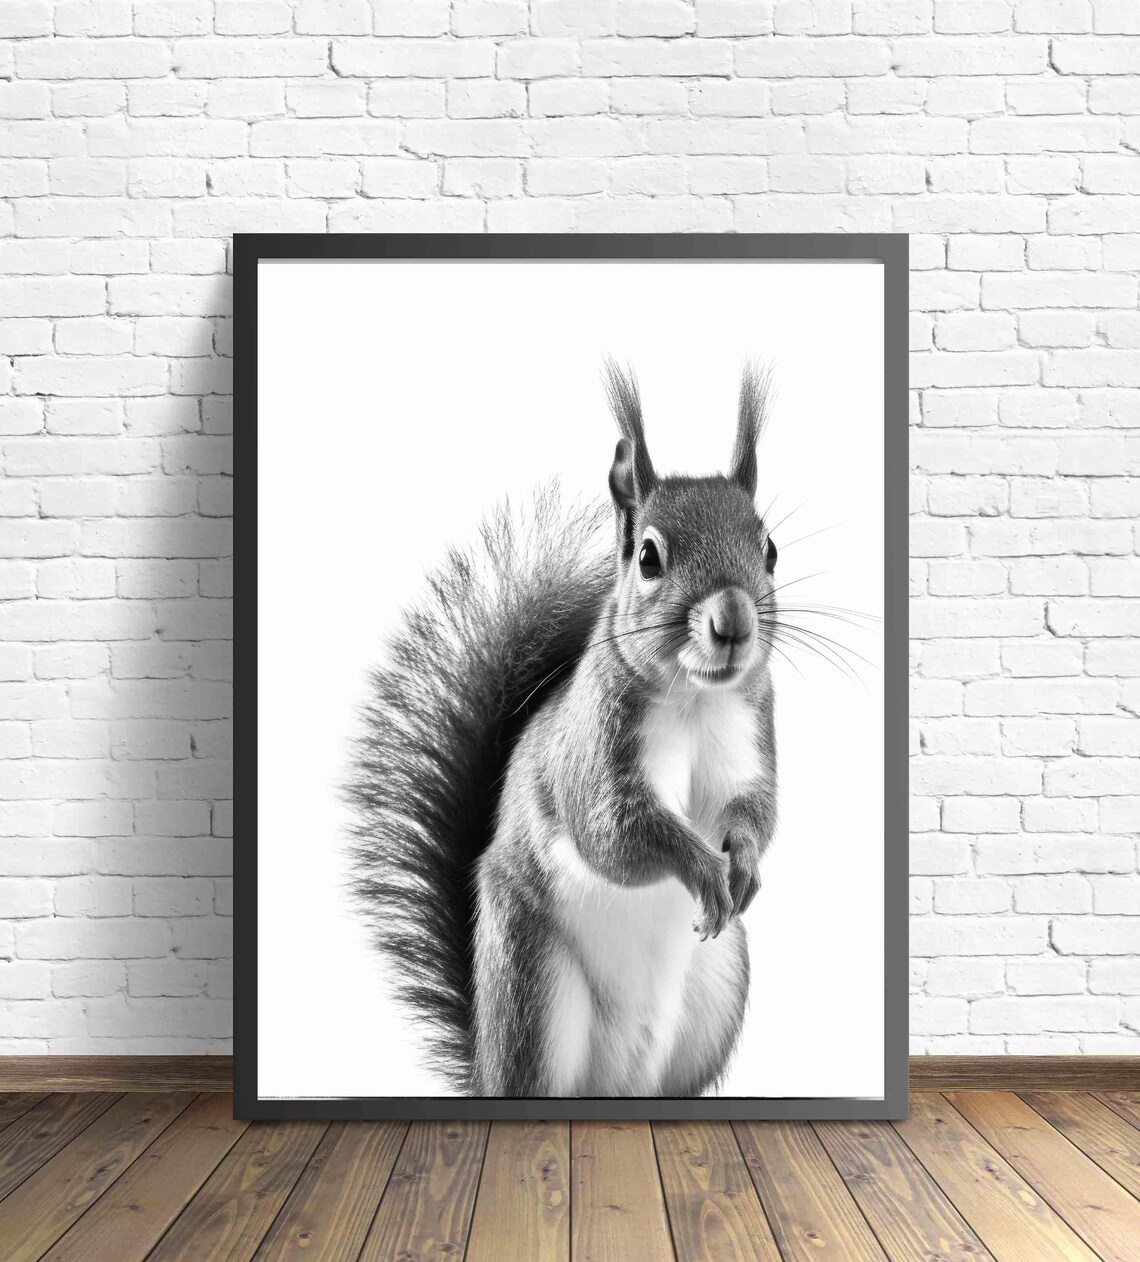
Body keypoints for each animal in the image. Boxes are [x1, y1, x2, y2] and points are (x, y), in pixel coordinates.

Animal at [349, 362, 779, 1098]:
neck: (696, 701)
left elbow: (756, 812)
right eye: (648, 558)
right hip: (533, 985)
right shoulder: (594, 748)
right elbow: (616, 832)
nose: (733, 621)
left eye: (770, 549)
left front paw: (743, 864)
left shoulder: (752, 733)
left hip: (718, 992)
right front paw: (701, 866)